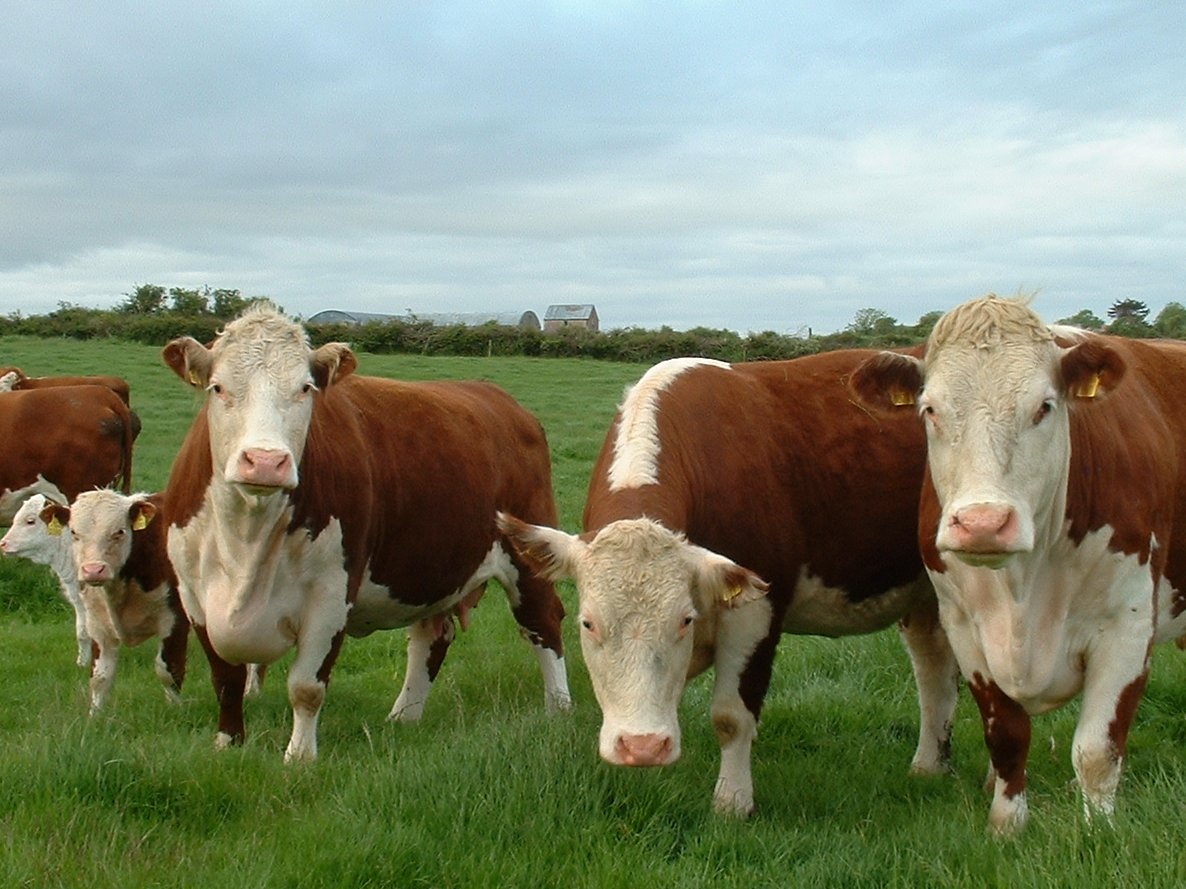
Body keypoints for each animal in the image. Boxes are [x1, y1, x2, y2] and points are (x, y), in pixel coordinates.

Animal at [41, 490, 189, 714]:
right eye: (74, 533)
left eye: (119, 532)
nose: (93, 570)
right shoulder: (98, 625)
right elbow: (100, 677)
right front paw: (95, 716)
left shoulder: (175, 620)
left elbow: (169, 670)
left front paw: (176, 711)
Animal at [160, 303, 570, 761]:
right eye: (218, 388)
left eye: (305, 388)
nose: (265, 462)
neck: (246, 533)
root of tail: (500, 399)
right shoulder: (194, 597)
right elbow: (226, 679)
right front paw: (228, 743)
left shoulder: (331, 594)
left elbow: (306, 687)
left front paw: (299, 758)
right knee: (432, 637)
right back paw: (403, 717)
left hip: (526, 550)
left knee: (543, 622)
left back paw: (559, 709)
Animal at [498, 351, 960, 817]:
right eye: (588, 623)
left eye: (684, 620)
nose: (641, 747)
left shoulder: (755, 611)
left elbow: (731, 717)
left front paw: (733, 801)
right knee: (934, 671)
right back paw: (929, 764)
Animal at [848, 293, 1186, 834]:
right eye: (930, 409)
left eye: (1044, 407)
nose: (983, 523)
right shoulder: (966, 629)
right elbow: (1006, 737)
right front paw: (1006, 826)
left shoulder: (1128, 629)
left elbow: (1097, 751)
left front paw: (1098, 831)